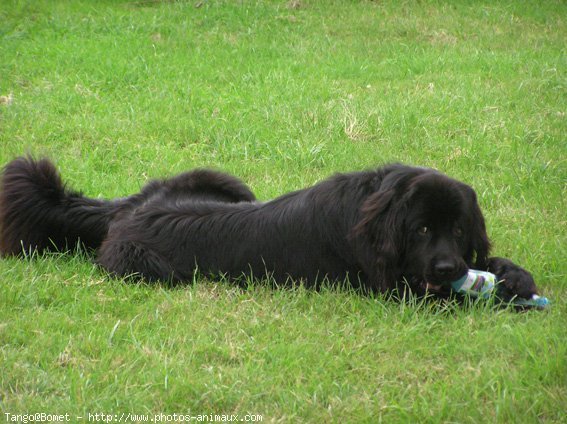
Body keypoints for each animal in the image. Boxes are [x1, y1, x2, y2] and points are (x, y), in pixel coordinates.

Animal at [0, 157, 540, 302]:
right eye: (422, 229)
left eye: (458, 230)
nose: (448, 267)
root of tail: (127, 208)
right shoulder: (392, 289)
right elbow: (455, 298)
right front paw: (503, 293)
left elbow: (491, 265)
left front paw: (516, 277)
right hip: (144, 267)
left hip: (226, 180)